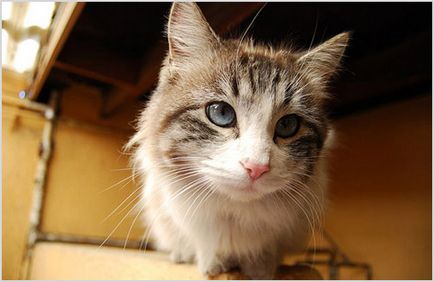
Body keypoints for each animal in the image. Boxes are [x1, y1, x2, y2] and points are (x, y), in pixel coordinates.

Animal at [127, 2, 350, 280]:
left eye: (287, 126)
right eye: (221, 113)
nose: (256, 168)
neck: (235, 213)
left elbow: (264, 255)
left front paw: (260, 269)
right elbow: (203, 245)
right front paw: (213, 263)